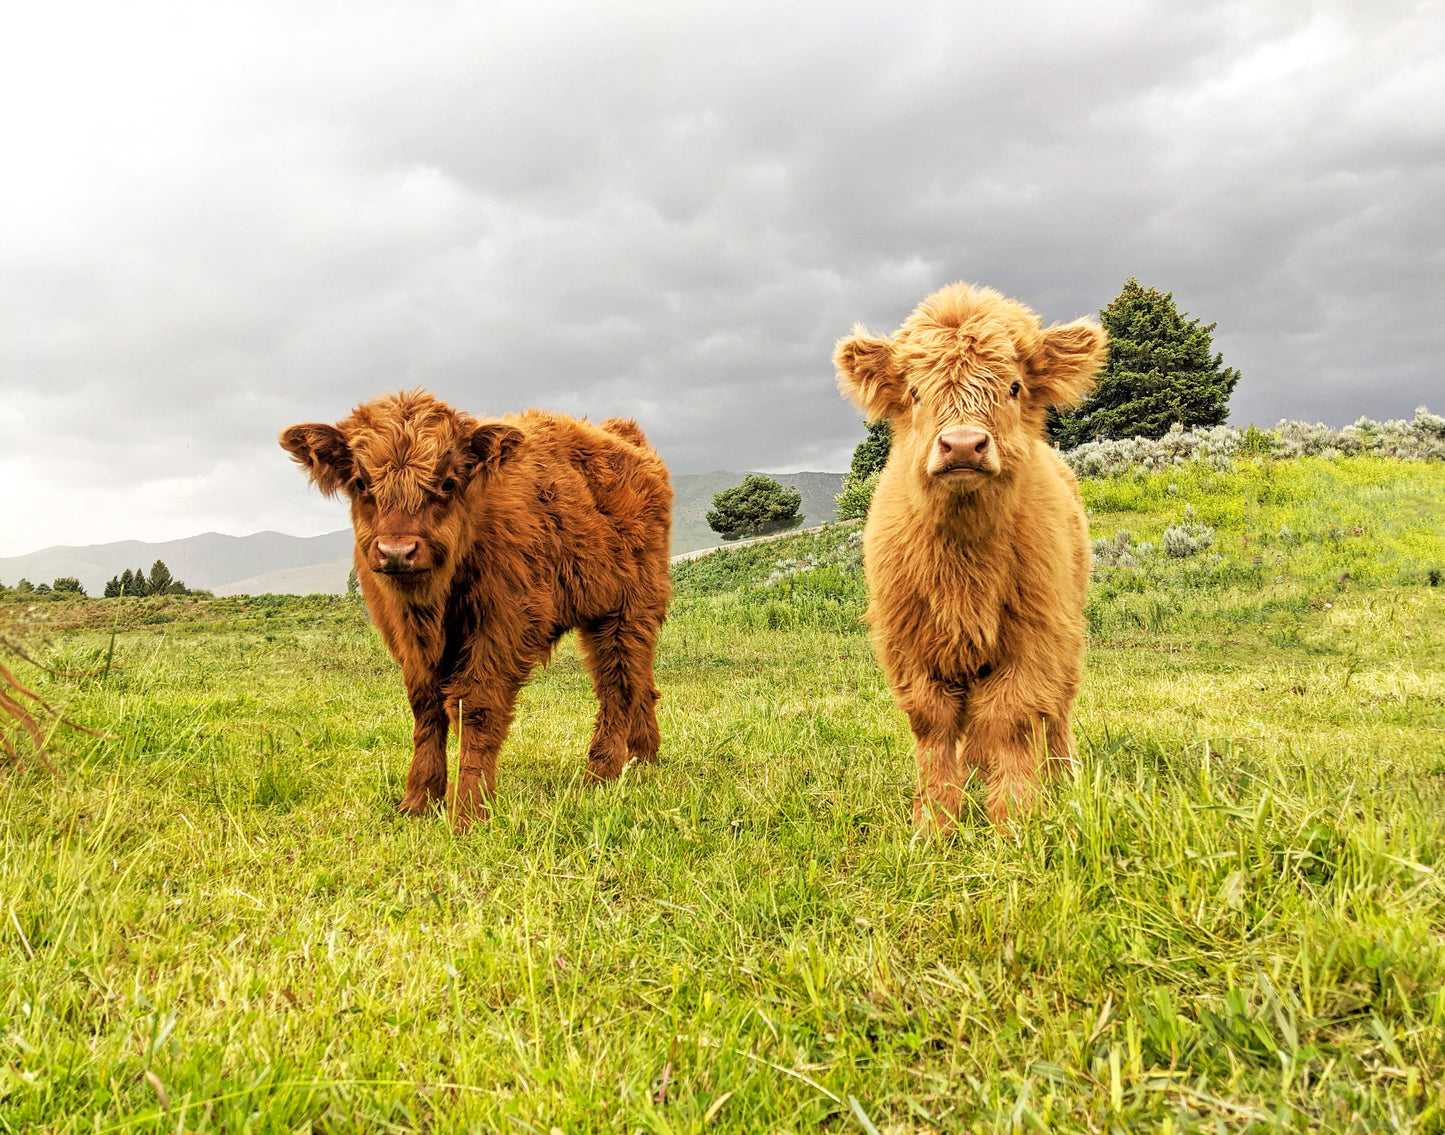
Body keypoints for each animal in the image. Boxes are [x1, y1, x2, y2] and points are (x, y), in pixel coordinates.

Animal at [278, 393, 673, 827]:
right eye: (361, 483)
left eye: (448, 482)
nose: (397, 552)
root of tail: (624, 436)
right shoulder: (405, 635)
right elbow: (426, 709)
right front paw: (419, 800)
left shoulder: (502, 625)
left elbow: (475, 709)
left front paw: (468, 811)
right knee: (639, 680)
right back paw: (643, 758)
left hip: (628, 608)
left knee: (617, 685)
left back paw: (600, 775)